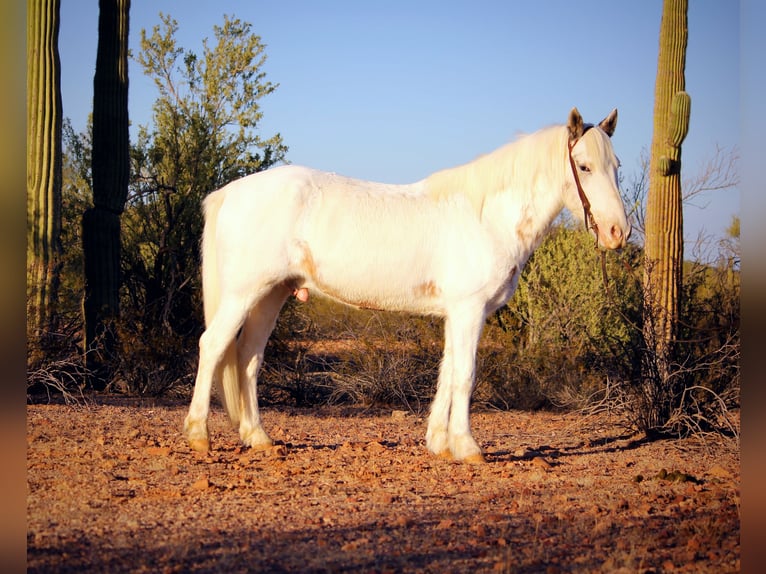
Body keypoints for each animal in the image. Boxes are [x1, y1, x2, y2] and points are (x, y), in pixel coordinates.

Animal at [184, 108, 632, 466]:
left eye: (617, 164)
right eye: (584, 166)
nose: (618, 232)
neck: (486, 216)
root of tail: (229, 192)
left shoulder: (458, 313)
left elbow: (448, 371)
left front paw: (440, 443)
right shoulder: (468, 310)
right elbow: (465, 374)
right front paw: (468, 447)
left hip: (271, 295)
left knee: (247, 358)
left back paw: (258, 437)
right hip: (243, 293)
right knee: (213, 345)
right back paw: (198, 435)